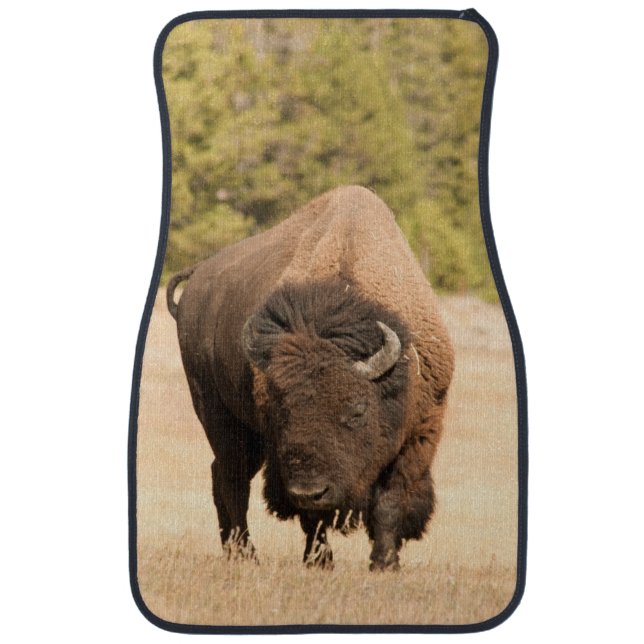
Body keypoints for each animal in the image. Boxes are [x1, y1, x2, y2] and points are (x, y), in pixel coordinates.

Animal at [167, 186, 454, 570]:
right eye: (280, 411)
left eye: (357, 411)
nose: (310, 491)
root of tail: (197, 277)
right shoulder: (284, 457)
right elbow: (312, 518)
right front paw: (320, 562)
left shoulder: (419, 434)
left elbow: (390, 501)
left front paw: (384, 563)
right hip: (219, 417)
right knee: (232, 480)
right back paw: (246, 554)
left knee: (222, 476)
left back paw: (233, 551)